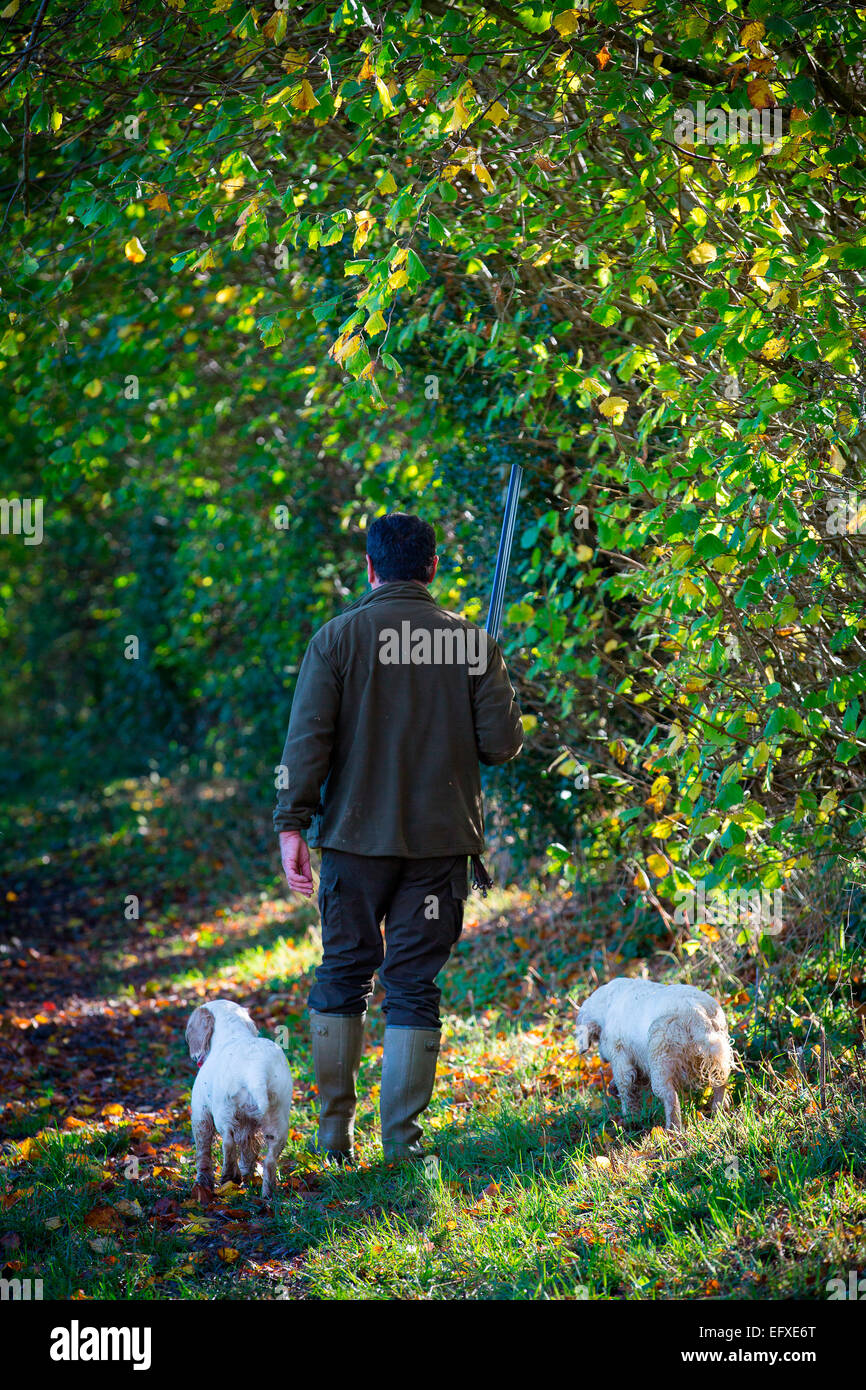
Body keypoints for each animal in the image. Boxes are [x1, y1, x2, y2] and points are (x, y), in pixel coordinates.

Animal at [184, 1000, 293, 1206]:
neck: (232, 1032)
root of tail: (257, 1070)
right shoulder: (248, 1126)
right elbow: (248, 1150)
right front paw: (247, 1174)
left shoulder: (201, 1114)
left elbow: (203, 1152)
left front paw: (203, 1183)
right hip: (278, 1122)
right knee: (269, 1161)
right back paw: (267, 1194)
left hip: (223, 1111)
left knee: (227, 1141)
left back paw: (229, 1176)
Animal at [575, 978, 733, 1128]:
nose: (602, 1057)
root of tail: (697, 1015)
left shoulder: (620, 1058)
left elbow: (625, 1088)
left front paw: (628, 1118)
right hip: (716, 1050)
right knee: (721, 1082)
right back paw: (719, 1112)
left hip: (659, 1058)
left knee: (670, 1097)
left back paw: (672, 1129)